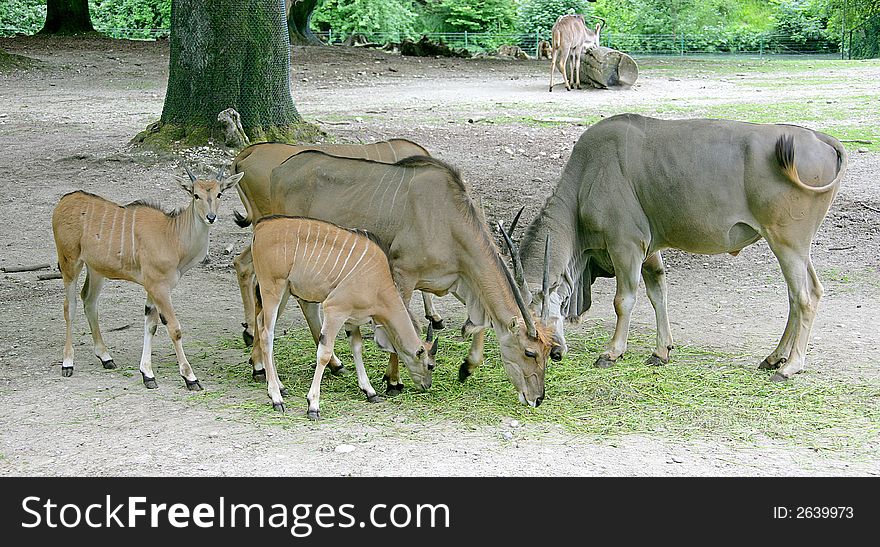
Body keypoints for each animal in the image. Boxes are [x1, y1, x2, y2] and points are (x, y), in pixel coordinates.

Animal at [51, 166, 244, 390]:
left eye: (219, 194)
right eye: (196, 195)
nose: (211, 217)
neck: (171, 236)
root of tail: (63, 202)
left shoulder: (152, 288)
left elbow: (151, 325)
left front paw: (147, 374)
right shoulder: (159, 287)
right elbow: (174, 328)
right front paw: (190, 378)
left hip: (96, 270)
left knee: (89, 301)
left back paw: (106, 357)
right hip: (70, 263)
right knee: (69, 305)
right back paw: (68, 363)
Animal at [251, 215, 436, 420]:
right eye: (430, 365)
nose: (427, 385)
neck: (378, 282)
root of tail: (260, 227)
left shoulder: (351, 318)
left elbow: (357, 346)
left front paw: (369, 391)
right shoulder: (335, 309)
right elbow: (324, 354)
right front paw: (313, 405)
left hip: (284, 292)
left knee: (261, 323)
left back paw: (279, 387)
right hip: (272, 290)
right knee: (267, 334)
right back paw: (276, 397)